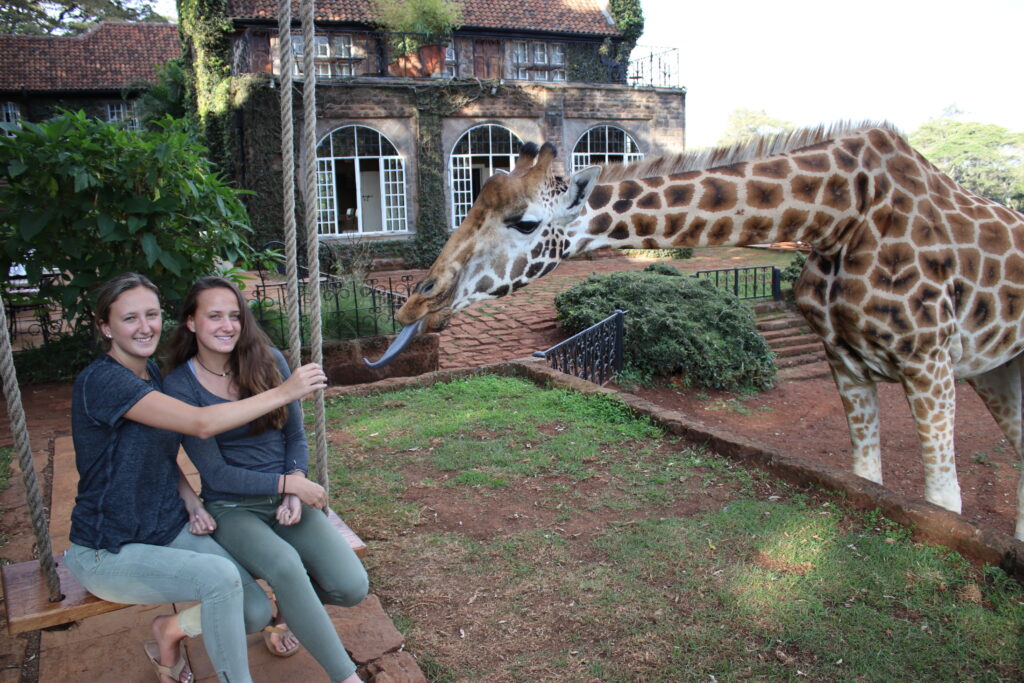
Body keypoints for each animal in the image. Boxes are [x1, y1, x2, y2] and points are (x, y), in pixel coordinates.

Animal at [370, 121, 1024, 540]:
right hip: (997, 369)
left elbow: (944, 502)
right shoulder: (845, 362)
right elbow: (868, 477)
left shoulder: (927, 362)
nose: (416, 303)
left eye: (525, 221)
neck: (836, 217)